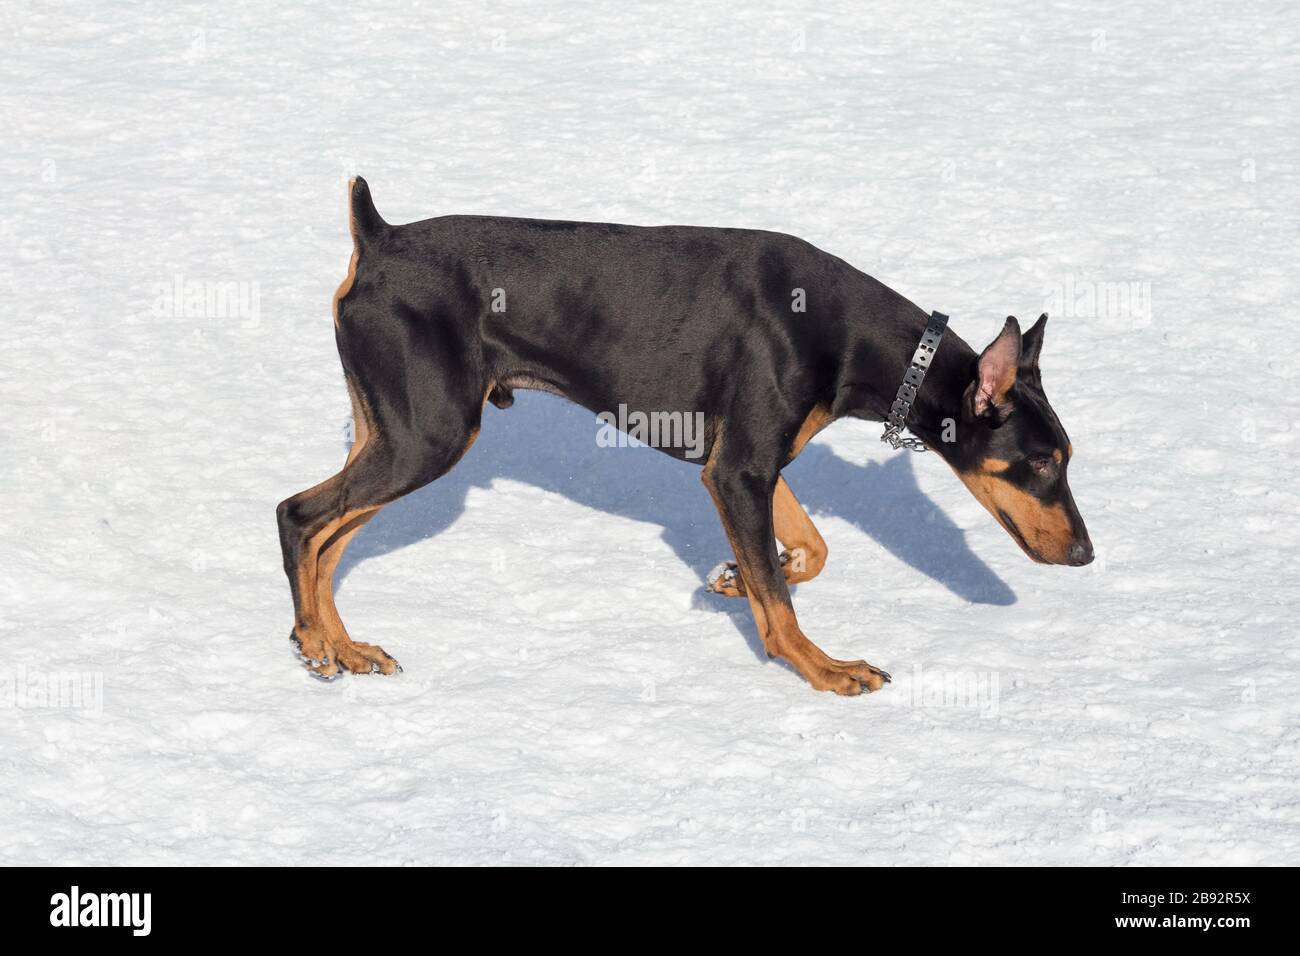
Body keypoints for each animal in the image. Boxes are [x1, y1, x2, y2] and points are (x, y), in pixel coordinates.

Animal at [279, 180, 1092, 697]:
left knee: (331, 538)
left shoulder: (746, 464)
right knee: (300, 516)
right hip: (432, 434)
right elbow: (782, 606)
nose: (1087, 555)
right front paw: (826, 669)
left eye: (1067, 458)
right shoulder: (739, 470)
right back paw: (318, 646)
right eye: (1041, 462)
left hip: (395, 430)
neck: (841, 330)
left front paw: (736, 578)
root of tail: (377, 240)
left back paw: (343, 646)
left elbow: (810, 550)